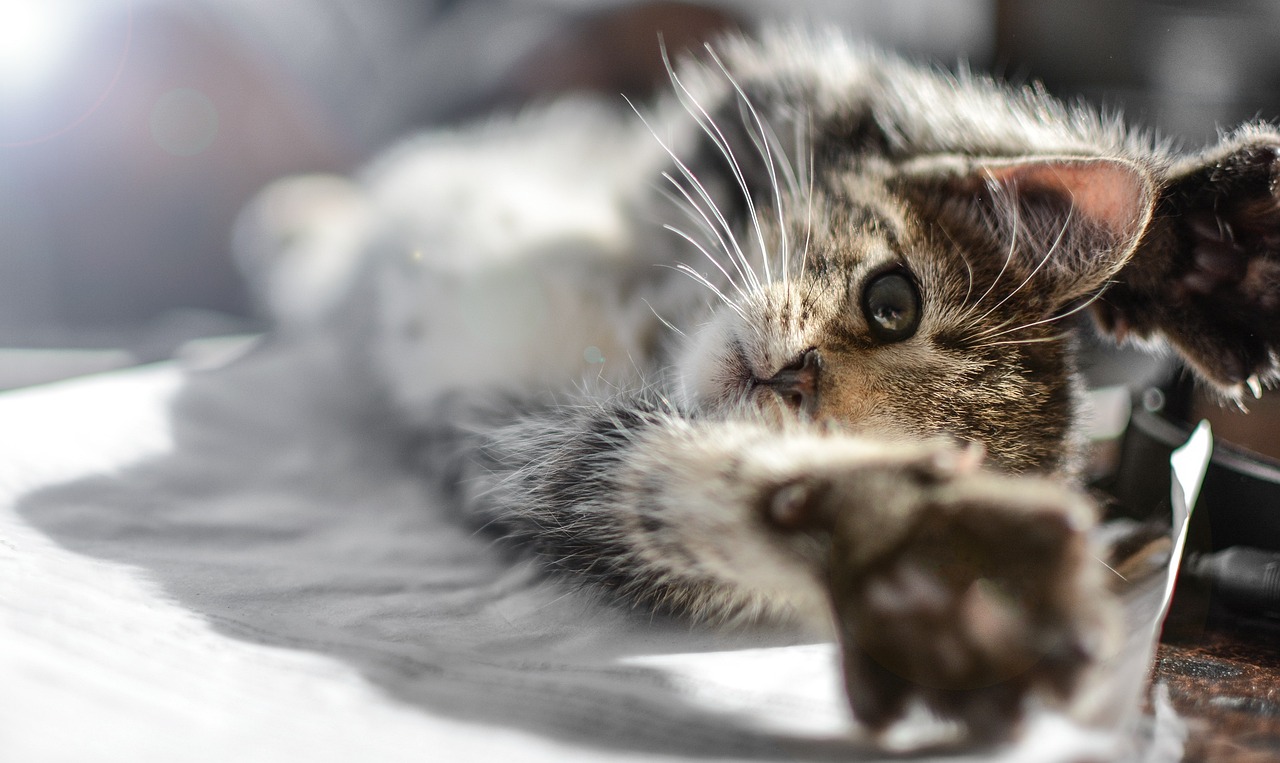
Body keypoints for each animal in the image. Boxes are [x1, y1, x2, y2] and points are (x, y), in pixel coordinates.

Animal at [235, 26, 1280, 742]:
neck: (641, 318)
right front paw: (1190, 234)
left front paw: (903, 555)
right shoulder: (764, 102)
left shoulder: (516, 444)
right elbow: (878, 88)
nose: (795, 377)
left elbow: (643, 485)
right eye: (893, 300)